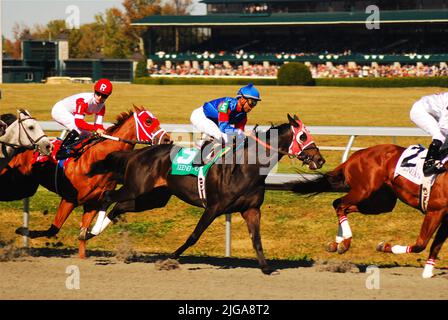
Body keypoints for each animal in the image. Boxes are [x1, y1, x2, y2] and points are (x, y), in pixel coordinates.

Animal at [13, 107, 172, 258]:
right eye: (148, 121)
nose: (167, 139)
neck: (96, 162)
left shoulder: (93, 204)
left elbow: (83, 234)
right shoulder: (69, 199)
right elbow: (53, 229)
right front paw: (22, 230)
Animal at [86, 114, 326, 274]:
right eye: (302, 136)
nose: (320, 159)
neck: (247, 167)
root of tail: (138, 153)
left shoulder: (251, 209)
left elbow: (256, 239)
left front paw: (266, 267)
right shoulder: (214, 207)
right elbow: (194, 236)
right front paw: (170, 258)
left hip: (152, 198)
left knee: (119, 207)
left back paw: (96, 234)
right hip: (136, 188)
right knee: (107, 197)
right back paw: (88, 231)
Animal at [290, 144, 448, 278]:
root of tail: (354, 156)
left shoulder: (444, 217)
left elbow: (436, 245)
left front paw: (428, 272)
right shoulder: (435, 210)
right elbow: (421, 244)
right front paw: (384, 246)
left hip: (381, 202)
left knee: (342, 206)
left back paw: (337, 242)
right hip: (363, 190)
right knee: (339, 204)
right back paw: (345, 243)